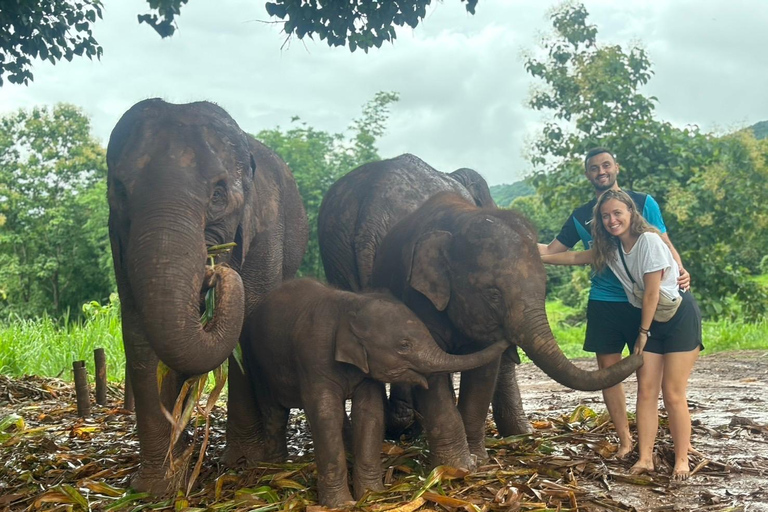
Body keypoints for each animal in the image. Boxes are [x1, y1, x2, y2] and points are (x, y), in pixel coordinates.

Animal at [106, 99, 308, 494]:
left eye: (218, 194)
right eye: (120, 191)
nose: (216, 270)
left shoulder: (265, 232)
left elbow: (250, 325)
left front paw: (245, 462)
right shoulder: (118, 240)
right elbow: (139, 335)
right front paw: (156, 485)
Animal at [241, 278, 509, 507]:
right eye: (404, 345)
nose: (506, 337)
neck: (349, 306)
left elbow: (369, 414)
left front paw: (372, 495)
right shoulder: (313, 360)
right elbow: (326, 416)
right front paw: (341, 505)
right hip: (255, 361)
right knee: (274, 411)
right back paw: (275, 465)